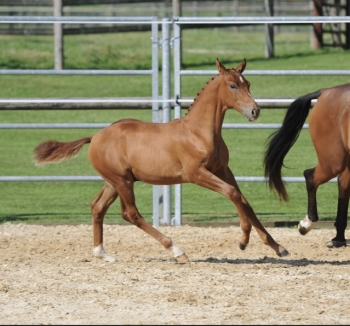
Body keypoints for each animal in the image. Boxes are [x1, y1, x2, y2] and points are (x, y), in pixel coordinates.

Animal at [34, 58, 288, 262]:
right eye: (233, 85)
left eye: (248, 84)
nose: (254, 111)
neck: (199, 132)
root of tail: (95, 136)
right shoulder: (196, 174)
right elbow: (233, 194)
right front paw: (243, 239)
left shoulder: (223, 170)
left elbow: (244, 201)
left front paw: (278, 247)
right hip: (123, 181)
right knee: (130, 214)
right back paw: (177, 251)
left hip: (114, 182)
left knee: (97, 207)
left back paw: (102, 254)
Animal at [264, 83, 350, 247]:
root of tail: (327, 91)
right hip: (333, 161)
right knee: (310, 176)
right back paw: (307, 224)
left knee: (342, 184)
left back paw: (339, 238)